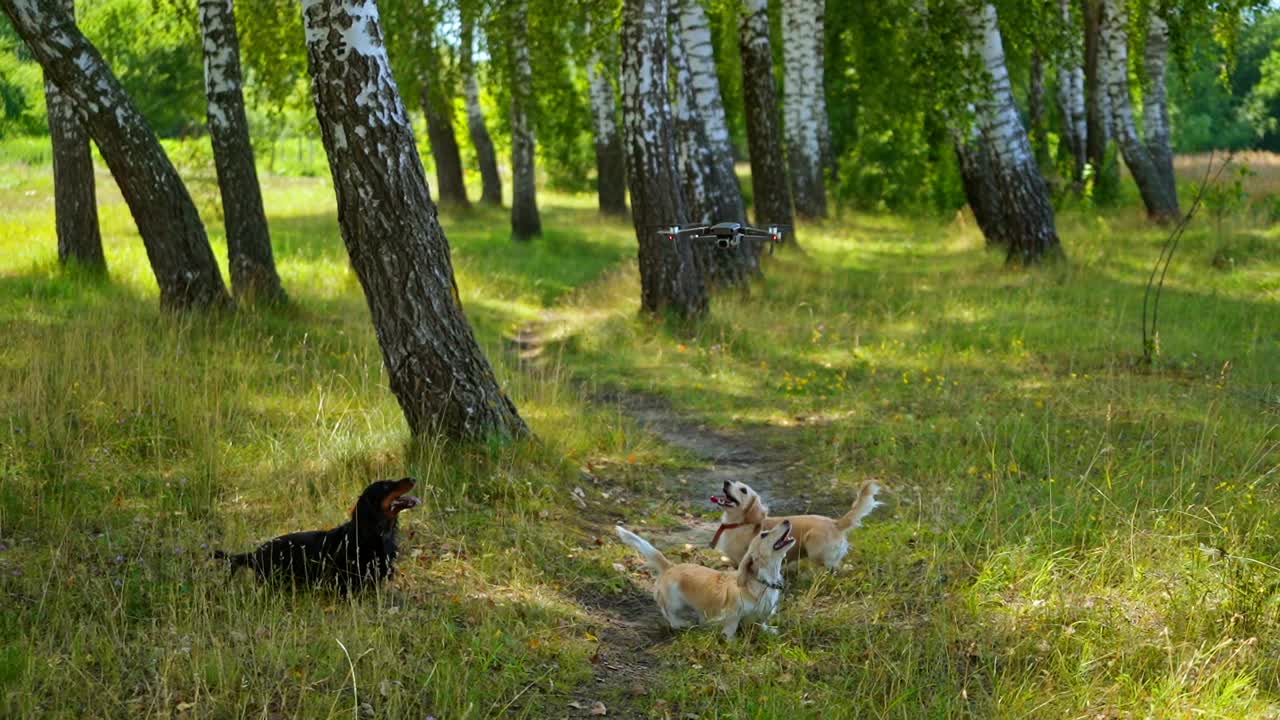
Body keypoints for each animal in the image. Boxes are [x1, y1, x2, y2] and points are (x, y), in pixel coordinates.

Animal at [614, 517, 793, 635]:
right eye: (764, 534)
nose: (787, 520)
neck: (763, 582)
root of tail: (669, 566)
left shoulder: (762, 616)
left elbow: (761, 624)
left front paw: (771, 631)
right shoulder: (732, 615)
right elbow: (730, 630)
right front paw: (731, 642)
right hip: (674, 601)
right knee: (669, 614)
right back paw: (681, 623)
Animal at [711, 479, 880, 568]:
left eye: (743, 490)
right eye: (733, 482)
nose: (726, 482)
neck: (738, 524)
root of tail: (835, 523)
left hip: (814, 547)